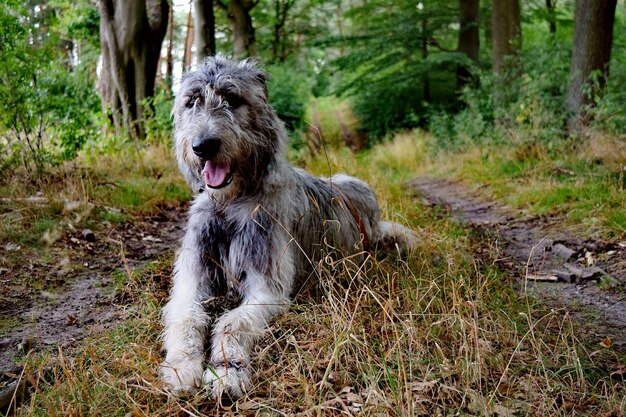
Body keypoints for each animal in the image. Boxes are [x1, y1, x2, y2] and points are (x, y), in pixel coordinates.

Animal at [161, 55, 414, 396]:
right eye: (192, 102)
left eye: (232, 98)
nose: (203, 146)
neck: (231, 201)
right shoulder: (193, 276)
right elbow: (187, 314)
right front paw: (181, 364)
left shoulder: (267, 287)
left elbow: (232, 321)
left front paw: (227, 368)